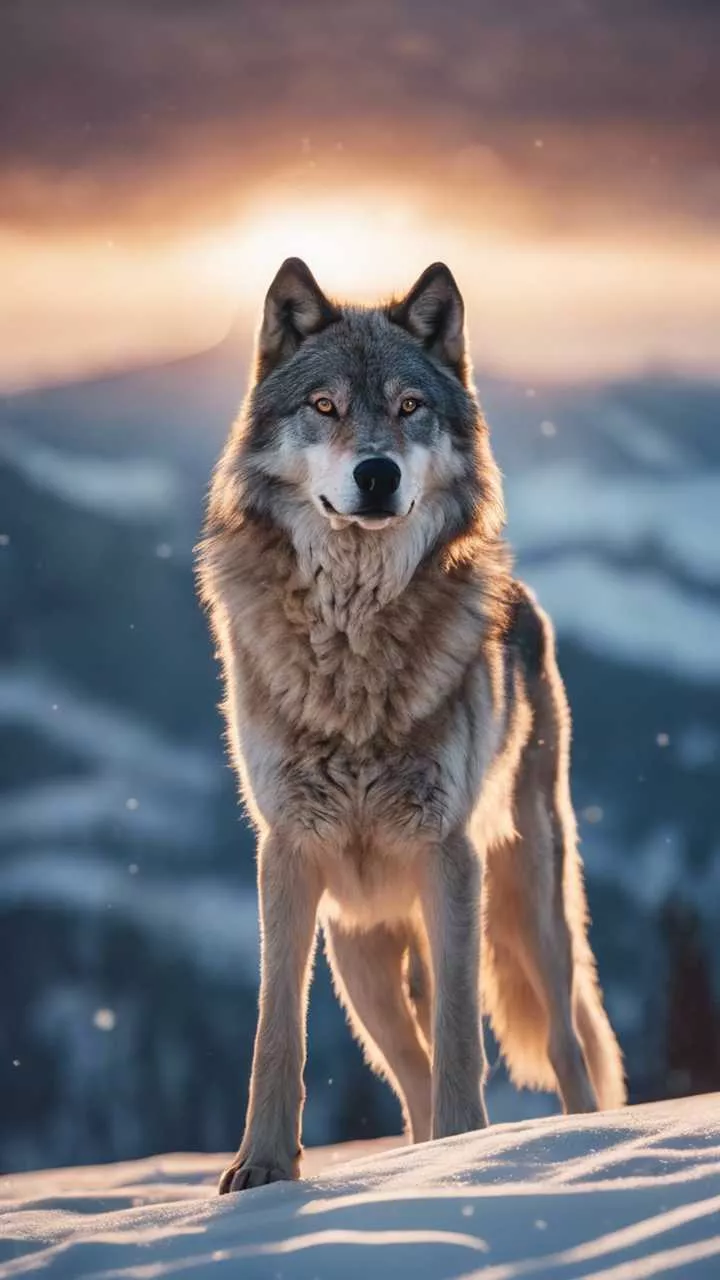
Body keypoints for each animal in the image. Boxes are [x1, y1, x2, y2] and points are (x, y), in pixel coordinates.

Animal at [197, 257, 626, 1193]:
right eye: (324, 406)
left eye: (408, 407)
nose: (377, 475)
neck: (353, 640)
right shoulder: (287, 856)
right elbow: (276, 1033)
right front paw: (262, 1169)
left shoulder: (448, 854)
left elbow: (466, 1042)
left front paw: (468, 1159)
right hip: (361, 952)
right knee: (408, 1069)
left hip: (528, 902)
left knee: (565, 1045)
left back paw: (581, 1146)